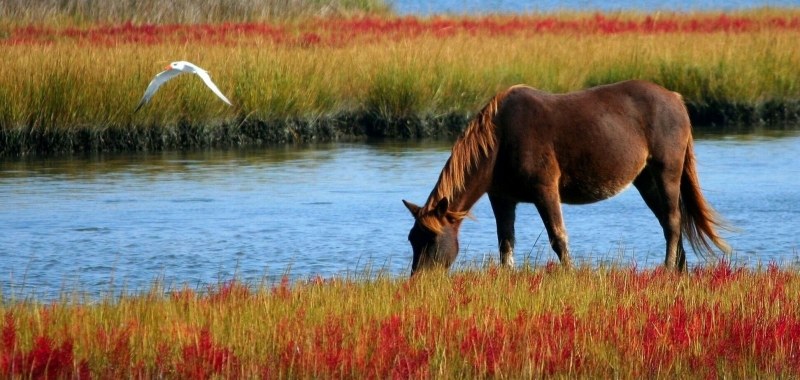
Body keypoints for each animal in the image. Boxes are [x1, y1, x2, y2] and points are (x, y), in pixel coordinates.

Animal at [406, 81, 732, 276]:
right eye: (412, 239)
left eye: (431, 239)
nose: (418, 280)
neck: (500, 140)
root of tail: (676, 99)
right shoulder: (502, 198)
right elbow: (505, 243)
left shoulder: (545, 190)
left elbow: (558, 238)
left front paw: (569, 275)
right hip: (646, 180)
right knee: (668, 221)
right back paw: (679, 270)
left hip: (666, 171)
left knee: (674, 222)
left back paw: (666, 270)